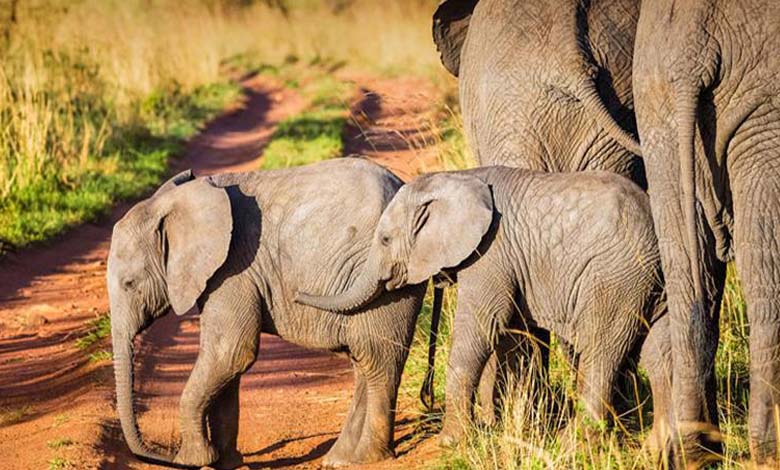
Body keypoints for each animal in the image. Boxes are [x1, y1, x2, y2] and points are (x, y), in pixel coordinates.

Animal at [105, 159, 426, 470]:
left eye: (129, 284)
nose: (160, 456)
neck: (175, 202)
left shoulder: (233, 269)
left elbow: (231, 352)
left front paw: (192, 461)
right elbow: (227, 363)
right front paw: (225, 463)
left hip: (387, 278)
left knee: (377, 361)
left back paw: (368, 458)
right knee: (365, 363)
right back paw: (341, 458)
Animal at [298, 166, 672, 448]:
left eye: (385, 240)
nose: (299, 294)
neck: (458, 177)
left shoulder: (491, 252)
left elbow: (481, 327)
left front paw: (451, 442)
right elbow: (512, 333)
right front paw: (509, 426)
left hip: (617, 275)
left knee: (601, 350)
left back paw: (574, 445)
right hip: (651, 283)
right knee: (659, 353)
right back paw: (660, 448)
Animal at [632, 0, 780, 466]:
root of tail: (692, 53)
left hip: (656, 107)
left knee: (687, 273)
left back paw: (694, 451)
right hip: (765, 115)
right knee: (766, 273)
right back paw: (768, 451)